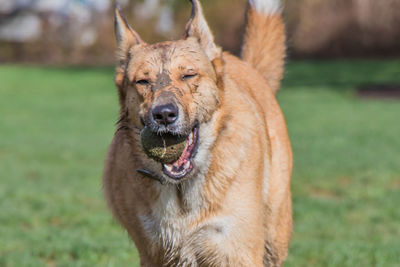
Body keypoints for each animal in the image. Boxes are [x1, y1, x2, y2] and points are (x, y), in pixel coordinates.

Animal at [102, 0, 290, 266]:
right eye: (142, 82)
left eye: (188, 74)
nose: (164, 114)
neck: (181, 191)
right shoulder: (154, 252)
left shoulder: (236, 249)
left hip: (274, 233)